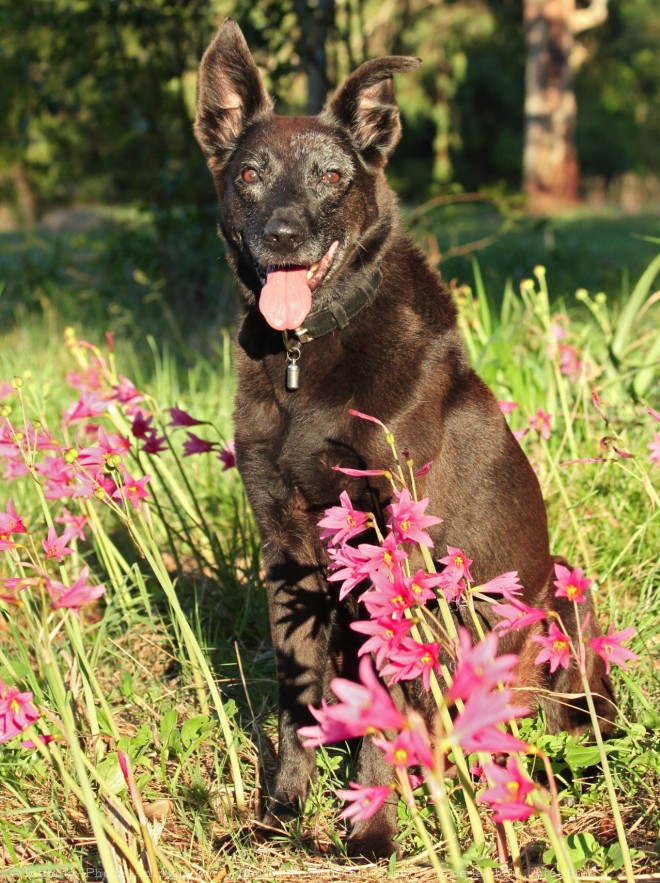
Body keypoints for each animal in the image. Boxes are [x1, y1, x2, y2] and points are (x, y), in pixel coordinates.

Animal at [193, 20, 616, 860]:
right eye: (250, 175)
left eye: (330, 176)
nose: (282, 236)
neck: (307, 357)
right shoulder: (285, 543)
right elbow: (296, 692)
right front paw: (280, 813)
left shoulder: (396, 549)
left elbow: (387, 700)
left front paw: (371, 827)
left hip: (559, 611)